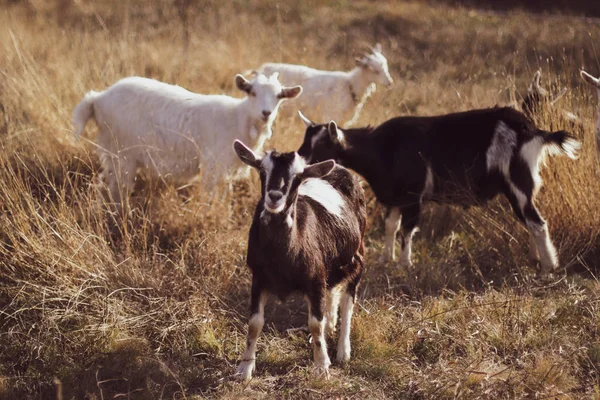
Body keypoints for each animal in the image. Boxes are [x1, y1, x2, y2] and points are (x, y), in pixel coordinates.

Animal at [72, 72, 302, 209]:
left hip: (113, 153)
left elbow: (224, 195)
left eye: (279, 96)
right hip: (123, 153)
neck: (238, 118)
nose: (266, 113)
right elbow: (210, 196)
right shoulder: (213, 165)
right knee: (117, 187)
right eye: (252, 92)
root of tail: (98, 98)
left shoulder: (225, 171)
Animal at [233, 140, 366, 382]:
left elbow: (315, 323)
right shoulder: (259, 278)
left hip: (356, 258)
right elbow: (255, 324)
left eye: (298, 177)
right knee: (332, 295)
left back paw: (343, 351)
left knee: (347, 302)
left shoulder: (315, 280)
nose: (275, 196)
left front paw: (321, 366)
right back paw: (329, 330)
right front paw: (244, 368)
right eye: (262, 170)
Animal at [256, 43, 394, 126]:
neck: (349, 86)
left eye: (386, 65)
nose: (389, 83)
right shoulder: (330, 116)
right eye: (374, 70)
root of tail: (262, 68)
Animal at [298, 106, 580, 276]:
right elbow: (390, 226)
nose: (300, 165)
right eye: (305, 143)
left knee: (537, 223)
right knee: (531, 222)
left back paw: (548, 268)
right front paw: (386, 259)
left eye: (321, 147)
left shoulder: (413, 197)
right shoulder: (394, 197)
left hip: (517, 183)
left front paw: (405, 264)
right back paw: (536, 260)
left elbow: (406, 231)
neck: (383, 148)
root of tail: (532, 130)